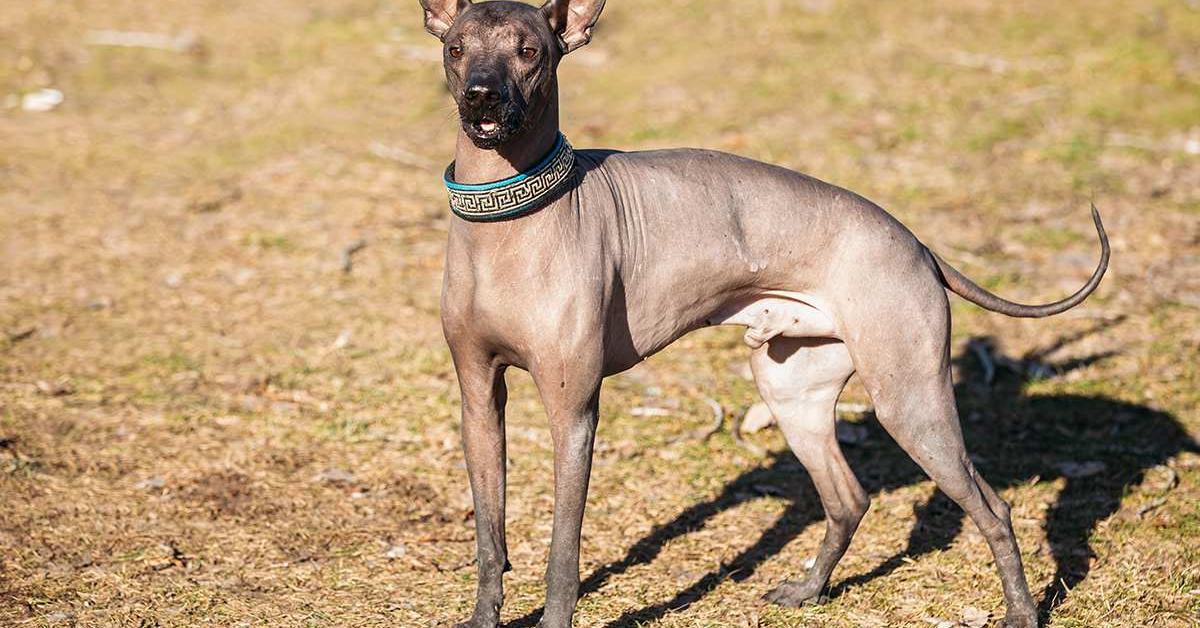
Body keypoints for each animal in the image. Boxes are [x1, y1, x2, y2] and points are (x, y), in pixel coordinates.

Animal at [417, 2, 1108, 624]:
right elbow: (489, 537)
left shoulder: (574, 410)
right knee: (848, 497)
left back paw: (1020, 611)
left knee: (994, 510)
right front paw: (483, 617)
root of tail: (918, 244)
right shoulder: (478, 397)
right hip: (792, 390)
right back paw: (808, 591)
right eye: (456, 48)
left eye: (529, 51)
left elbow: (564, 549)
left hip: (909, 400)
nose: (481, 96)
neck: (508, 216)